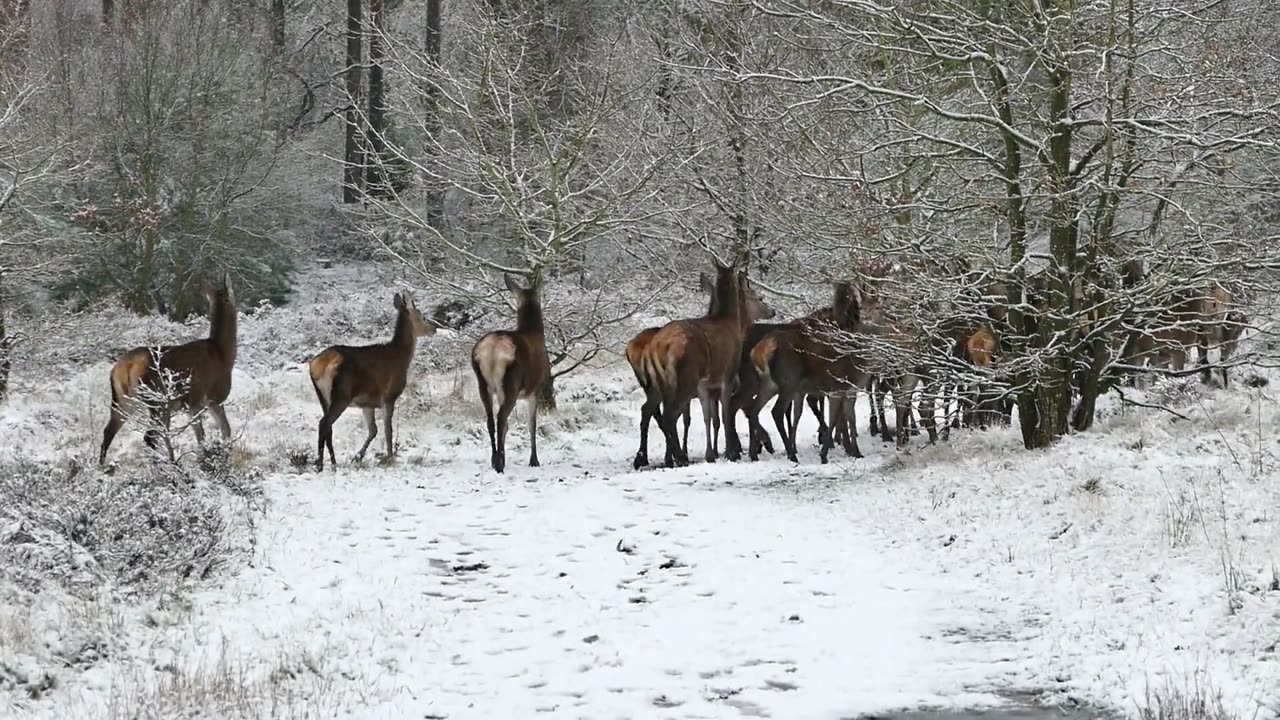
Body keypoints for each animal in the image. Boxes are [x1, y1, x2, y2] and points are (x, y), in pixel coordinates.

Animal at [99, 271, 238, 461]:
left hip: (123, 398)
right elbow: (218, 431)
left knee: (109, 431)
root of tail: (125, 367)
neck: (223, 353)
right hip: (157, 399)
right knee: (150, 437)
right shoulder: (210, 397)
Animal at [471, 272, 550, 471]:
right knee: (500, 418)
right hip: (511, 384)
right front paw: (534, 460)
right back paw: (499, 463)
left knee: (491, 419)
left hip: (483, 383)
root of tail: (491, 350)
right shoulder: (535, 389)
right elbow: (532, 424)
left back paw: (495, 459)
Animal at [627, 269, 773, 466]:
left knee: (649, 412)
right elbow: (720, 416)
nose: (772, 311)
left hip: (654, 386)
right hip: (679, 385)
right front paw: (731, 449)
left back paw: (645, 457)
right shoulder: (721, 386)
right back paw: (674, 457)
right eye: (759, 297)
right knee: (665, 415)